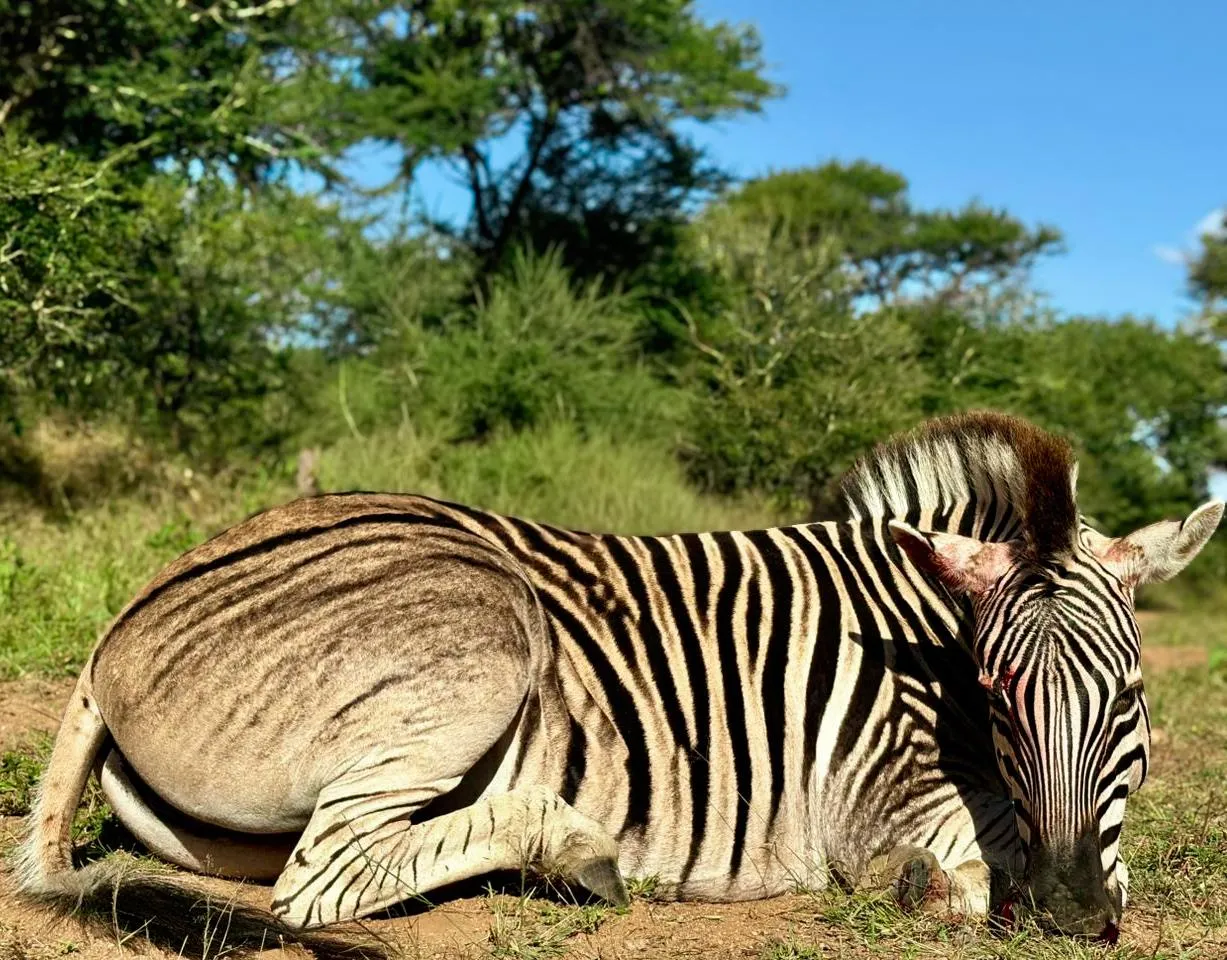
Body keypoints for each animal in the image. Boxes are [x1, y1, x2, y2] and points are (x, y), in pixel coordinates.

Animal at [14, 411, 1221, 942]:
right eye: (1001, 699)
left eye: (1128, 699)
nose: (1074, 916)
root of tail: (120, 630)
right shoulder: (875, 799)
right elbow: (968, 866)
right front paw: (939, 886)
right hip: (479, 637)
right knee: (321, 882)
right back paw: (576, 851)